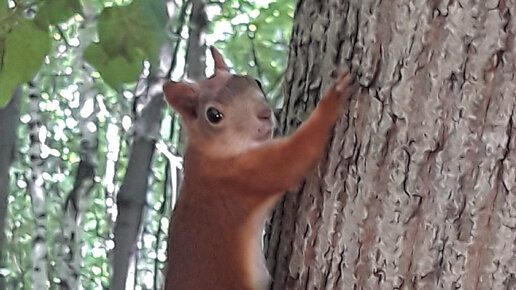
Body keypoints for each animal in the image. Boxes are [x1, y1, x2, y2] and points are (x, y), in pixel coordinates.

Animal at [163, 46, 356, 288]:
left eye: (255, 81)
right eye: (213, 115)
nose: (265, 114)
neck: (209, 153)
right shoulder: (240, 176)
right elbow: (293, 157)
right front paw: (333, 100)